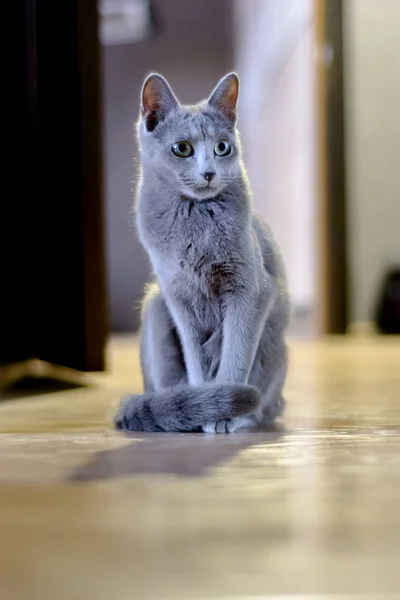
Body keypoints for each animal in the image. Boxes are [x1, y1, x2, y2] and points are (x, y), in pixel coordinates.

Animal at [114, 72, 290, 434]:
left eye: (222, 147)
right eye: (182, 148)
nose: (209, 172)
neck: (194, 219)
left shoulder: (249, 290)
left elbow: (235, 354)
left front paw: (225, 412)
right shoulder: (178, 296)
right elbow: (196, 359)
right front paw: (208, 405)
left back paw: (244, 415)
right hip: (155, 303)